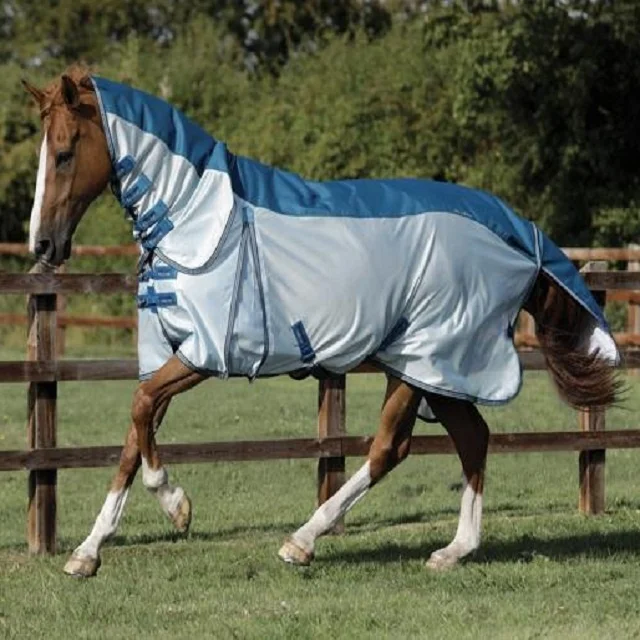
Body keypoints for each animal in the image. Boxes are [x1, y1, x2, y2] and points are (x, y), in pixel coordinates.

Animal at [21, 67, 621, 578]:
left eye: (66, 153)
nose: (44, 245)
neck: (195, 221)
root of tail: (521, 235)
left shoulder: (205, 354)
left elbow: (141, 411)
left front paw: (176, 505)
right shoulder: (168, 355)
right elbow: (134, 431)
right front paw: (87, 553)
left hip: (424, 358)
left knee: (390, 448)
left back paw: (303, 540)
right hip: (435, 369)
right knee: (471, 438)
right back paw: (453, 551)